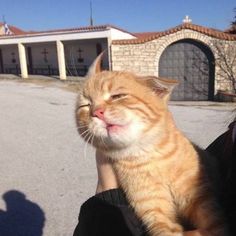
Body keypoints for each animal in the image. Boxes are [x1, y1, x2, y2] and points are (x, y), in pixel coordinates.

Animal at [76, 54, 230, 236]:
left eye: (117, 96)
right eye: (86, 105)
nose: (96, 112)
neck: (150, 156)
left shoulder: (201, 197)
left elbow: (216, 224)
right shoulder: (153, 210)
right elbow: (165, 229)